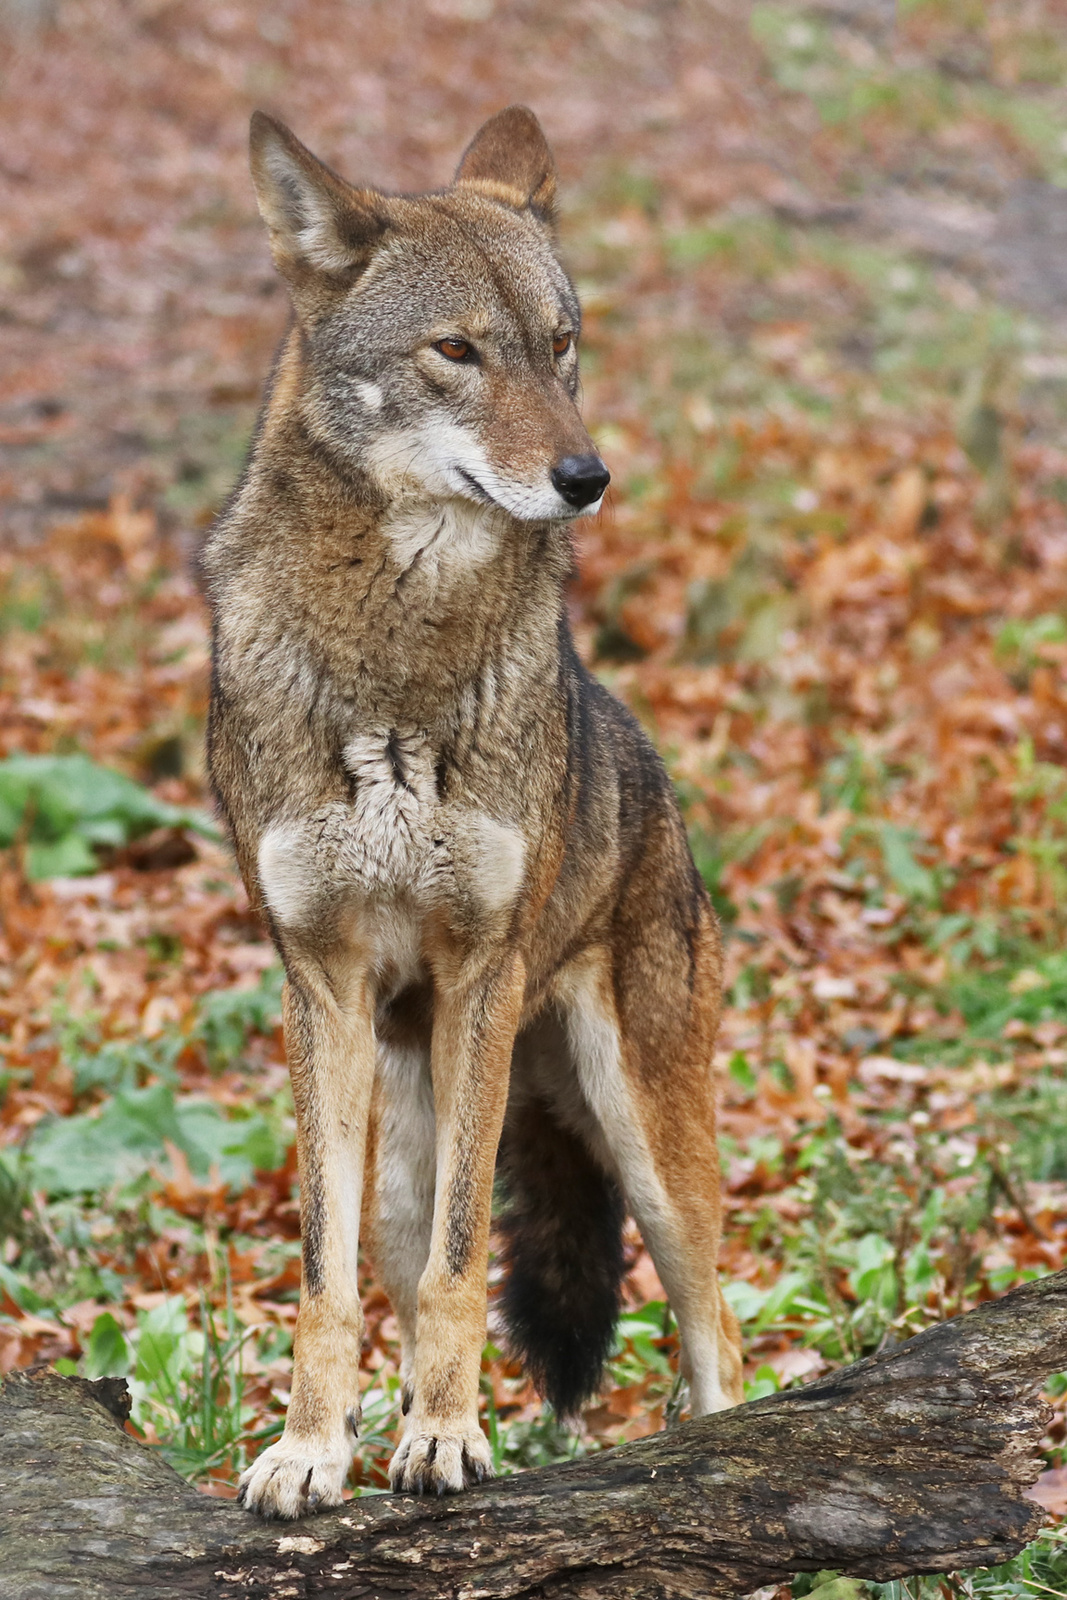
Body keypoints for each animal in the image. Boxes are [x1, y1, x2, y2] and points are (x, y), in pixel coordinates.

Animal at [201, 103, 742, 1518]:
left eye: (560, 345)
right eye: (456, 351)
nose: (585, 474)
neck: (398, 658)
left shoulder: (482, 973)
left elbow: (460, 1273)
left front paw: (448, 1441)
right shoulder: (320, 984)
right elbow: (325, 1283)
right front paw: (309, 1451)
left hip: (646, 1140)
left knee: (714, 1336)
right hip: (411, 1129)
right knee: (395, 1269)